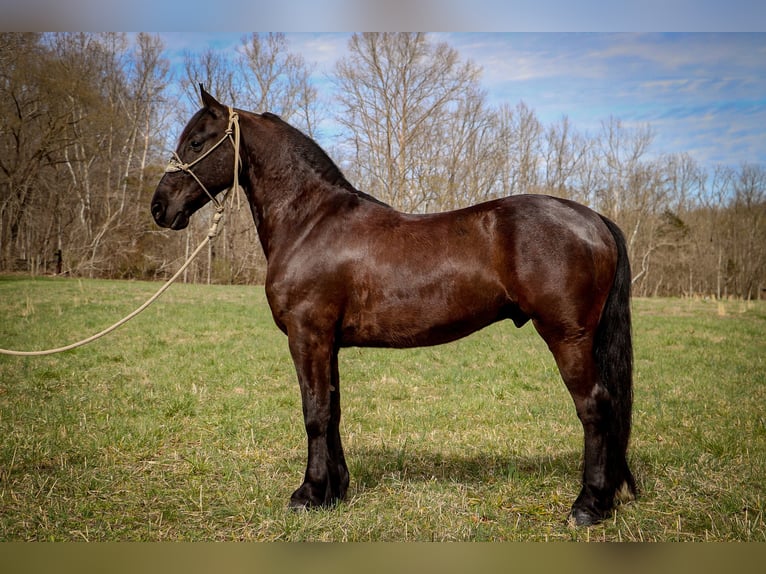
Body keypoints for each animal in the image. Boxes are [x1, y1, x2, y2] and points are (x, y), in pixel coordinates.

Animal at [150, 85, 636, 528]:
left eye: (197, 142)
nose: (159, 207)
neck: (310, 222)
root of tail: (593, 218)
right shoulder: (327, 343)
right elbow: (332, 409)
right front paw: (335, 492)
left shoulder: (308, 336)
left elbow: (314, 414)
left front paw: (307, 494)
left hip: (568, 337)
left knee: (595, 406)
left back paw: (588, 506)